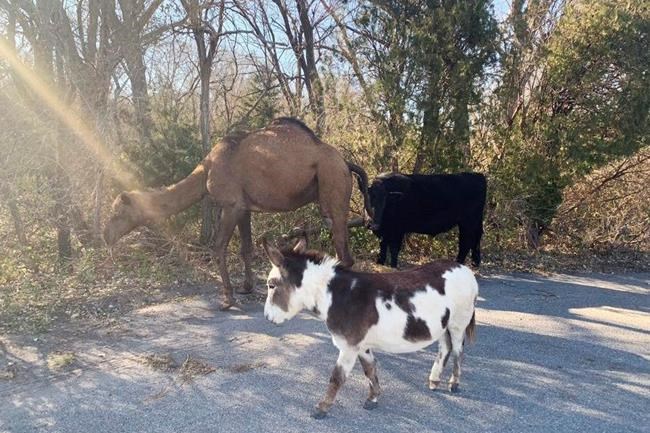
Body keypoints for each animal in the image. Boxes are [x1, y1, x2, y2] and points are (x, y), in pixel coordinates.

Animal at [103, 117, 373, 309]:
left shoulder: (230, 205)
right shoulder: (245, 208)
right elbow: (246, 247)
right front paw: (246, 287)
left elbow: (218, 246)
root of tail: (345, 162)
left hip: (332, 185)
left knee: (342, 250)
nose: (105, 236)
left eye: (117, 213)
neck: (206, 171)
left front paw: (228, 298)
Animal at [262, 238, 478, 419]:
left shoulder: (349, 347)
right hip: (441, 325)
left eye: (271, 285)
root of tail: (464, 268)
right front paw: (373, 398)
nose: (267, 318)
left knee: (458, 350)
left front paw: (322, 407)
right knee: (445, 348)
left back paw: (453, 383)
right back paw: (434, 380)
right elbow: (370, 370)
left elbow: (336, 378)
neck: (336, 296)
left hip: (458, 323)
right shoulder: (361, 346)